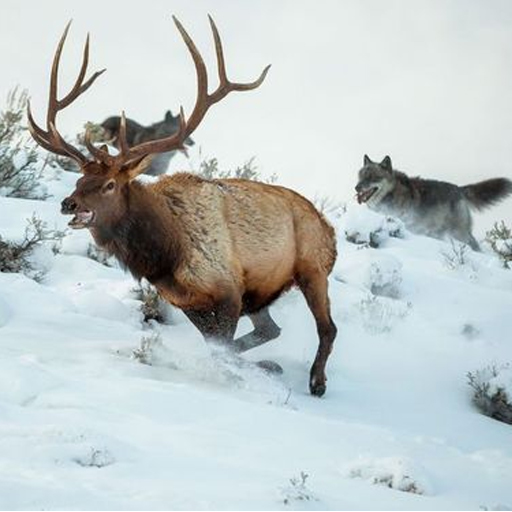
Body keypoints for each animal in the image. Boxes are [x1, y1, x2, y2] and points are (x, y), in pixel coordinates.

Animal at [29, 15, 340, 392]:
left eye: (109, 185)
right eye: (78, 180)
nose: (68, 204)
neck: (164, 254)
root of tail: (328, 227)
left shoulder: (227, 290)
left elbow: (222, 349)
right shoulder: (187, 300)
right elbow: (218, 347)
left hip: (313, 268)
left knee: (327, 328)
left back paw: (316, 382)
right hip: (263, 292)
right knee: (271, 329)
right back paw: (272, 366)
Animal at [354, 154, 512, 250]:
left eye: (373, 177)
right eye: (361, 176)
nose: (356, 187)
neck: (391, 193)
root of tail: (459, 189)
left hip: (459, 233)